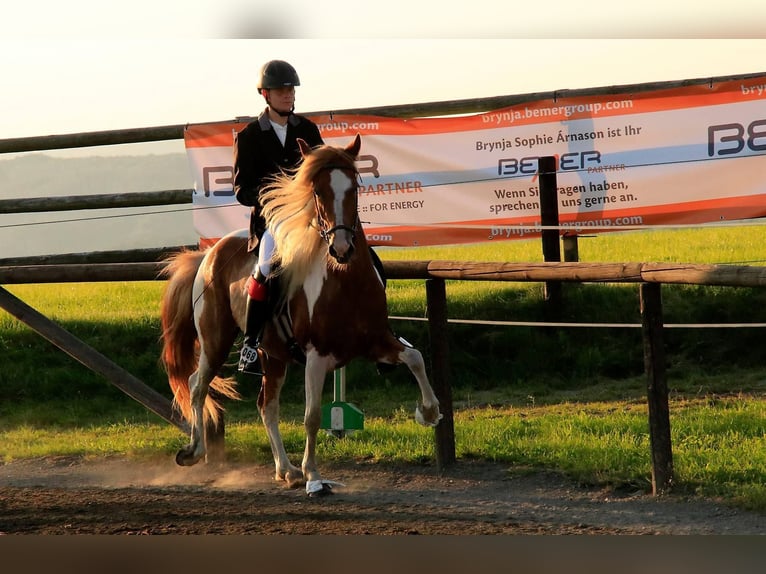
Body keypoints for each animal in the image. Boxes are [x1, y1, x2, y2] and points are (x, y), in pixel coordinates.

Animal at [159, 136, 440, 500]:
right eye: (317, 191)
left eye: (354, 187)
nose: (342, 249)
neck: (346, 281)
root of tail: (208, 254)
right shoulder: (317, 356)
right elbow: (312, 416)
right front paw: (314, 478)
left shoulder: (377, 341)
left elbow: (415, 357)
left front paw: (429, 412)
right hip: (215, 340)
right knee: (197, 384)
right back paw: (195, 451)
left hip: (273, 356)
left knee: (267, 406)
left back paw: (286, 471)